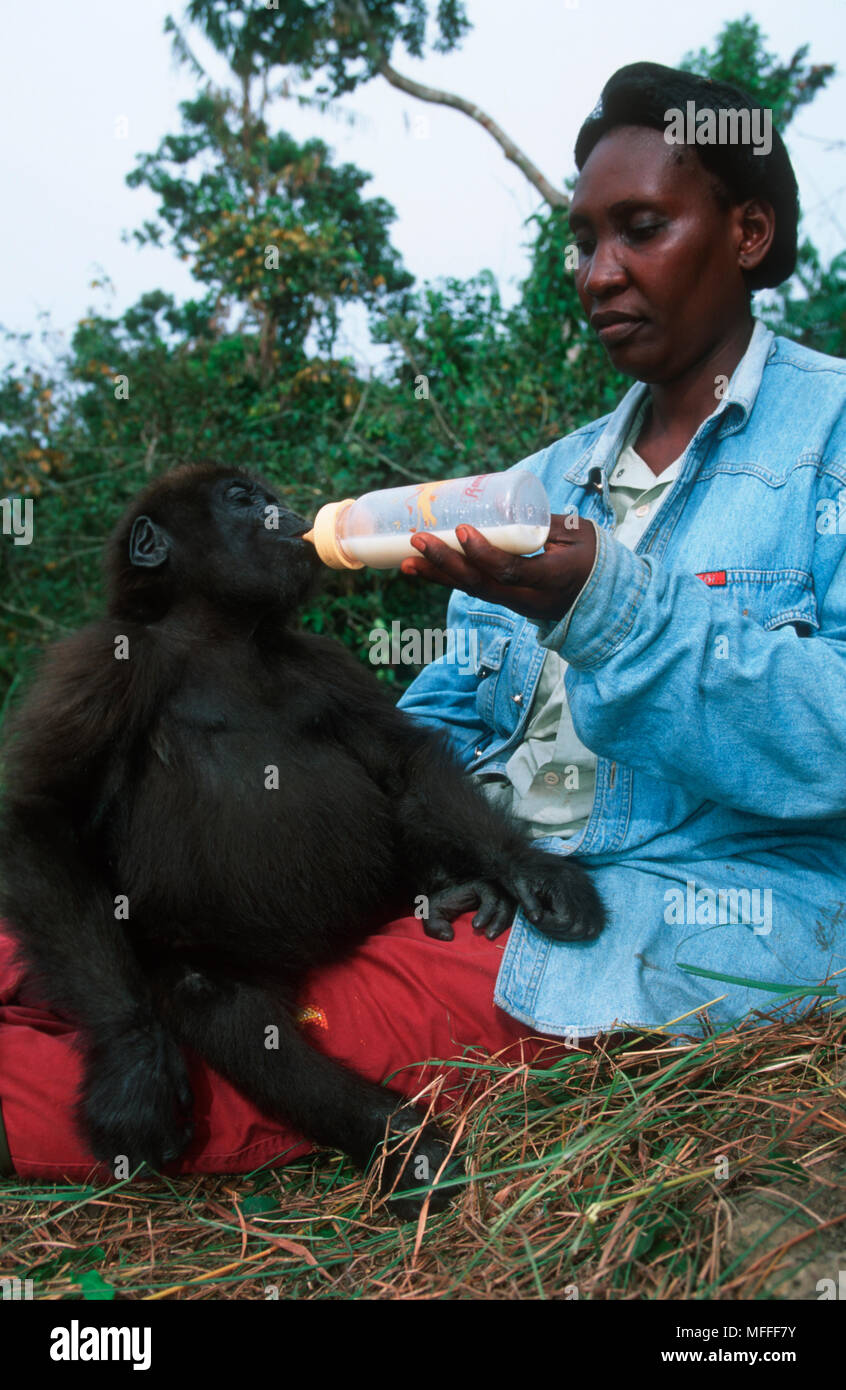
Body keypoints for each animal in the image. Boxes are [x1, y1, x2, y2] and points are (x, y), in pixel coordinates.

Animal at [0, 462, 605, 1215]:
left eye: (268, 498)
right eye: (242, 501)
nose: (289, 517)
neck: (220, 637)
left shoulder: (322, 660)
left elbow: (402, 762)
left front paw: (527, 869)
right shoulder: (108, 664)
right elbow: (45, 816)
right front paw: (132, 1059)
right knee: (224, 1009)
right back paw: (395, 1140)